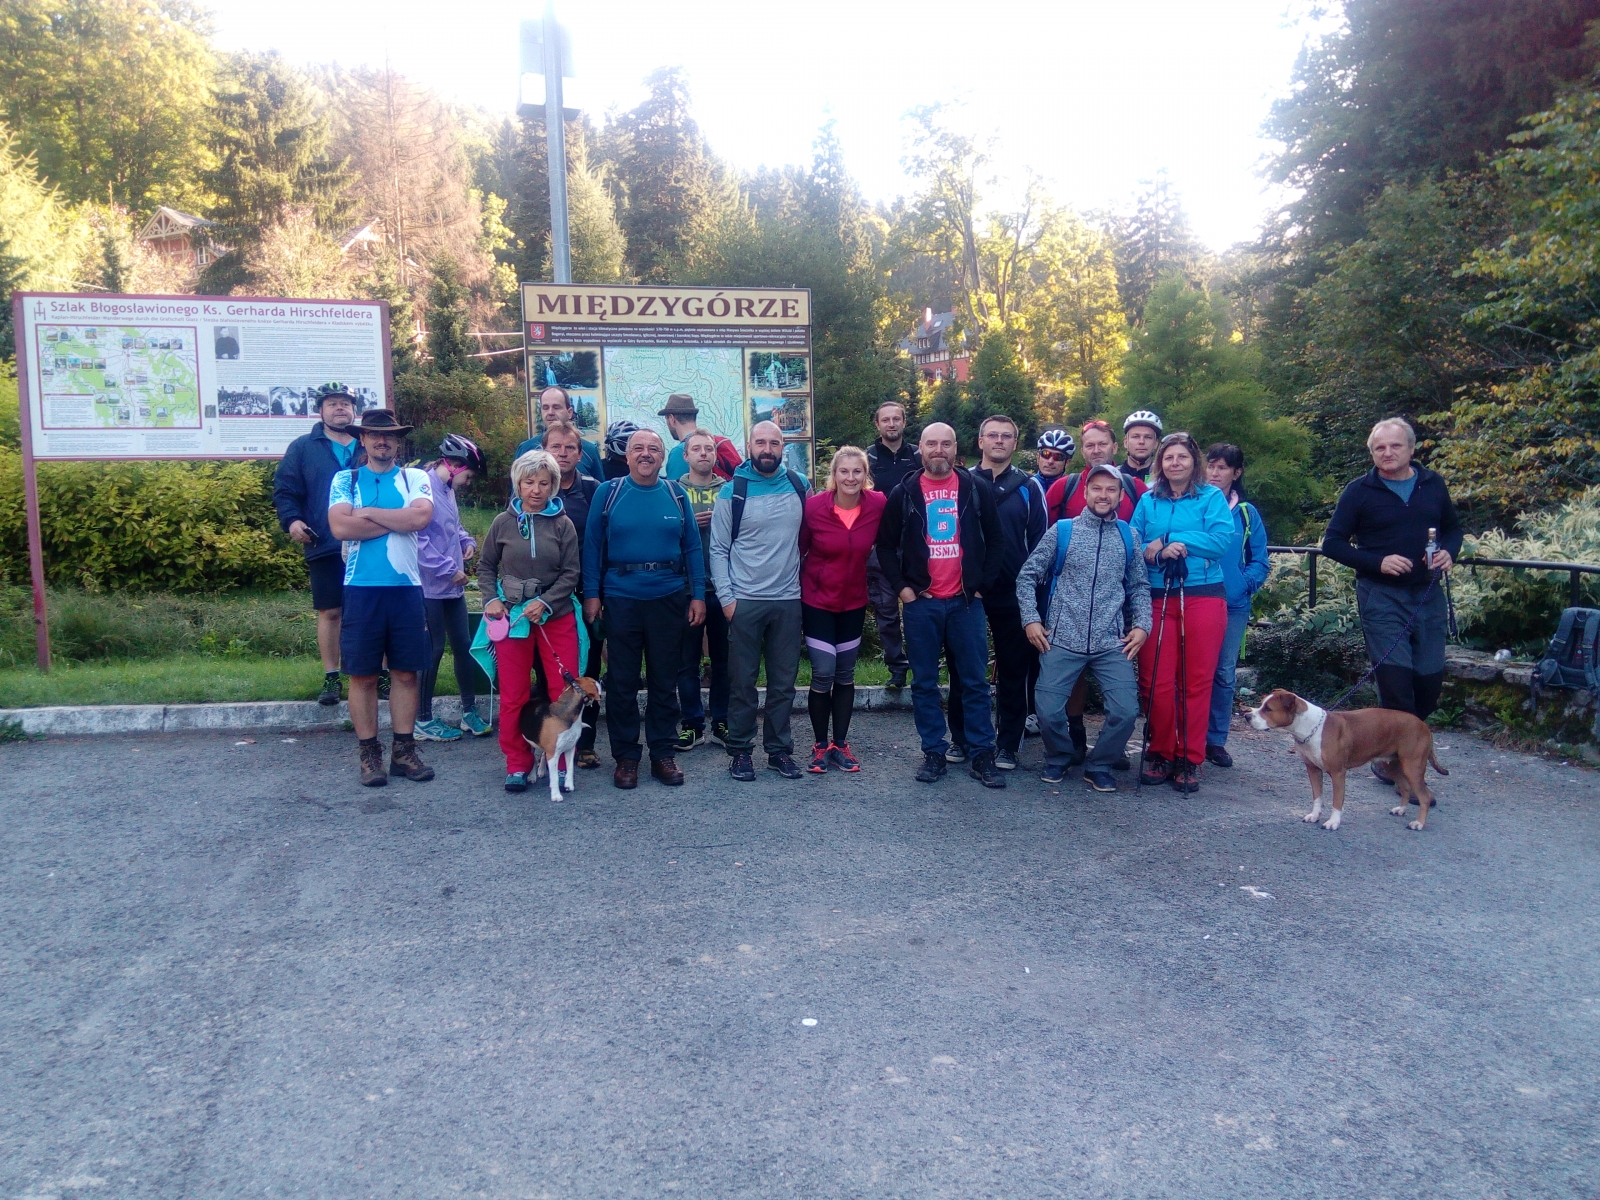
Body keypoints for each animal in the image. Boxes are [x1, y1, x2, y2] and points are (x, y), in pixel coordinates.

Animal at [1248, 688, 1448, 831]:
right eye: (1261, 705)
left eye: (1268, 709)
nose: (1247, 715)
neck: (1310, 727)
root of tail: (1423, 725)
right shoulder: (1313, 770)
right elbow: (1317, 796)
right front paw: (1314, 815)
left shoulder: (1338, 773)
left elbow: (1337, 801)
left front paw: (1333, 822)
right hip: (1391, 764)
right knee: (1405, 786)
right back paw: (1401, 810)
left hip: (1412, 767)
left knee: (1424, 797)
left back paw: (1418, 823)